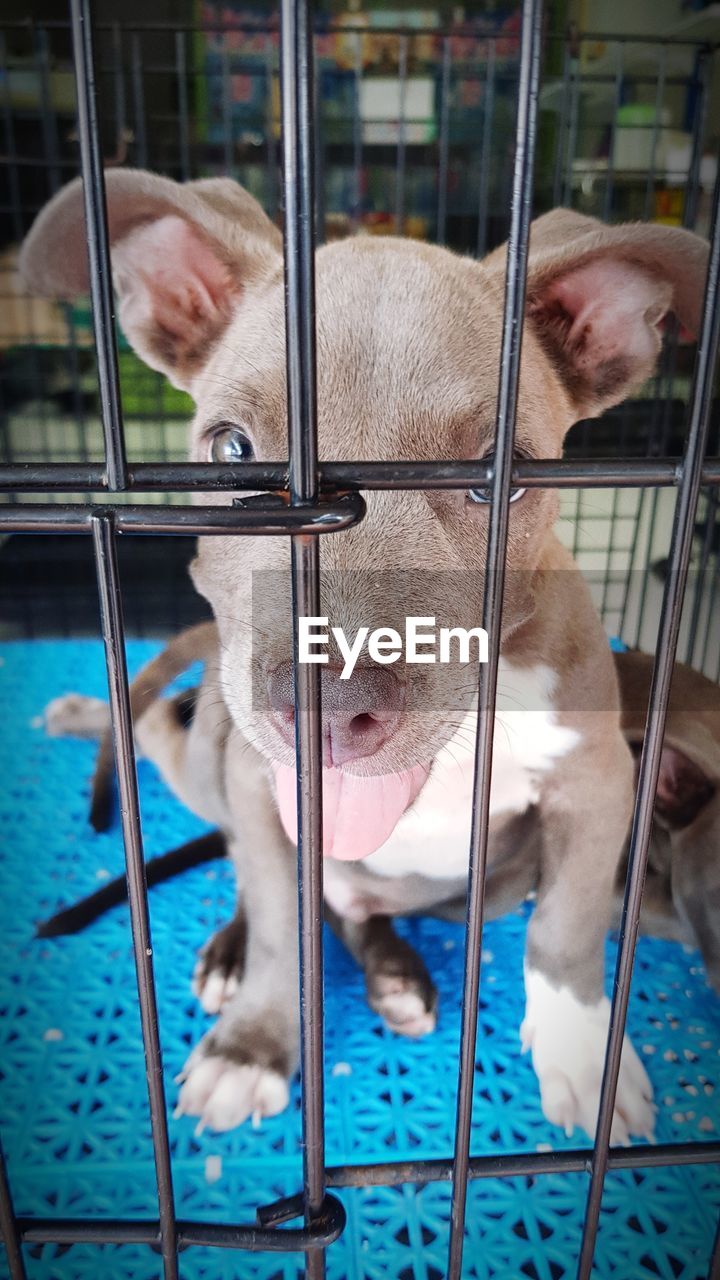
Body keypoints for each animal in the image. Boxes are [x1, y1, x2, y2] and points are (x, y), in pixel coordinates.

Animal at [20, 170, 707, 1141]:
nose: (326, 708)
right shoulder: (260, 790)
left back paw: (391, 973)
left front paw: (582, 1058)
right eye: (233, 452)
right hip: (215, 751)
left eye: (499, 477)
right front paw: (255, 1043)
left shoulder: (600, 779)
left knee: (351, 911)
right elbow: (282, 925)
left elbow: (566, 930)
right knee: (169, 755)